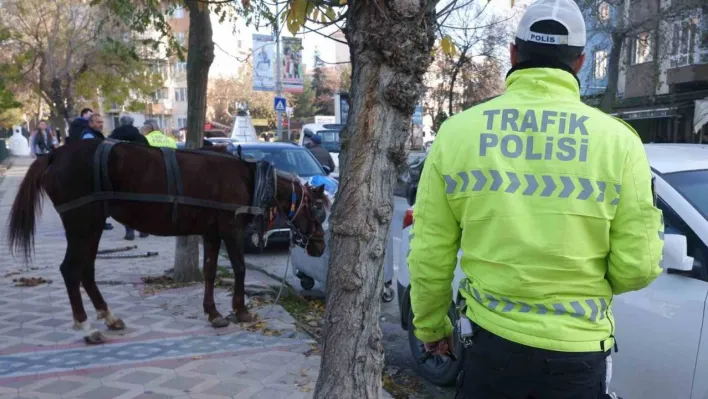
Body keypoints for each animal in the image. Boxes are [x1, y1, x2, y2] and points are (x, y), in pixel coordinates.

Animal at [6, 140, 328, 344]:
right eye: (319, 211)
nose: (319, 247)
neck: (250, 179)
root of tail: (55, 154)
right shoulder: (230, 229)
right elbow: (239, 268)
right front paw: (240, 310)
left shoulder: (211, 233)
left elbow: (210, 271)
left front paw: (213, 313)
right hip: (82, 224)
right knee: (71, 270)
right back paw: (86, 327)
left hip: (92, 226)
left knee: (86, 270)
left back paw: (109, 317)